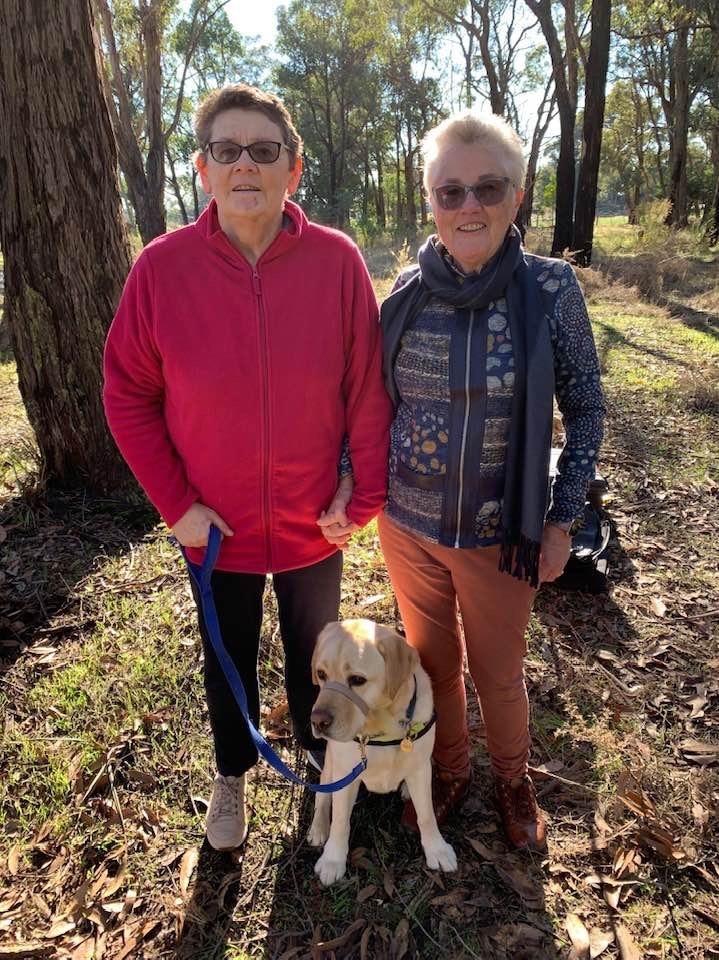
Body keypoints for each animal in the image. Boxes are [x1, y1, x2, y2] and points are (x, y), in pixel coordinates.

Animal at [308, 624, 456, 884]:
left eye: (357, 680)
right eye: (321, 674)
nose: (317, 721)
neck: (382, 730)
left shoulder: (420, 768)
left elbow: (426, 814)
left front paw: (437, 849)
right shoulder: (345, 774)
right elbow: (340, 822)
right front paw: (332, 860)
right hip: (330, 768)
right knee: (322, 796)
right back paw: (318, 827)